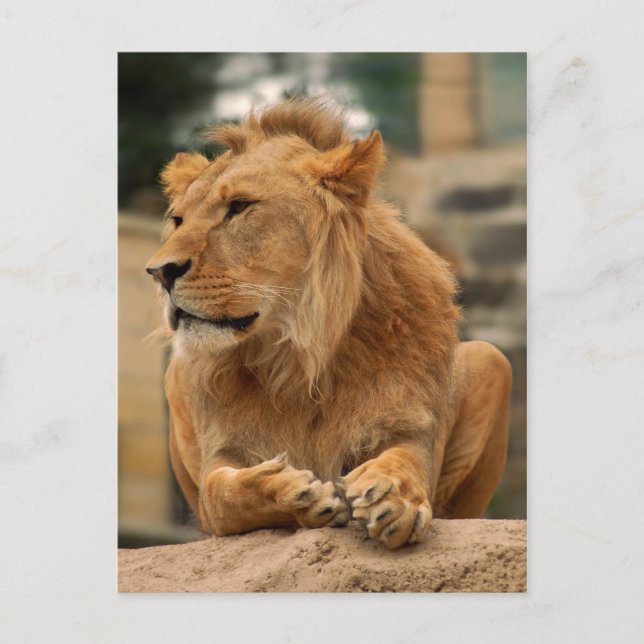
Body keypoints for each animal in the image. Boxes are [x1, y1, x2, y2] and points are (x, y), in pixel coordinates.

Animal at [145, 98, 512, 549]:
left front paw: (392, 497)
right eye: (178, 220)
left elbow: (408, 461)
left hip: (491, 357)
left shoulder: (411, 425)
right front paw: (293, 492)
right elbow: (221, 494)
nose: (159, 272)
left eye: (239, 207)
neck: (300, 359)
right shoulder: (222, 454)